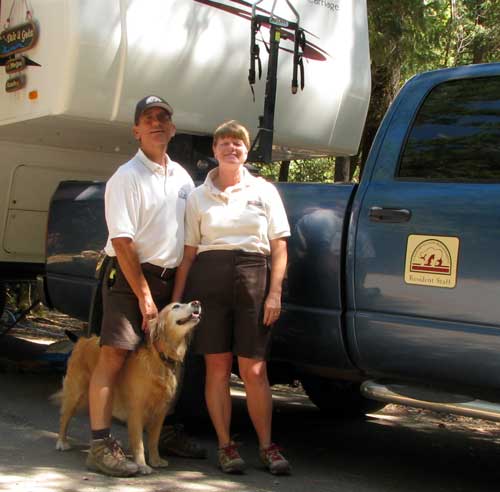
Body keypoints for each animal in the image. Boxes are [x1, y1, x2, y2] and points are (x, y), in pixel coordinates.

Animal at [51, 298, 199, 474]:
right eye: (175, 306)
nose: (196, 302)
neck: (160, 356)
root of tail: (83, 340)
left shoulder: (160, 412)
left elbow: (154, 440)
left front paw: (155, 460)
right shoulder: (136, 410)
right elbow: (139, 442)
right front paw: (142, 465)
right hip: (76, 393)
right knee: (64, 417)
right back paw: (61, 441)